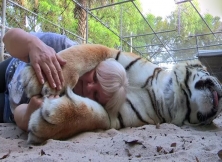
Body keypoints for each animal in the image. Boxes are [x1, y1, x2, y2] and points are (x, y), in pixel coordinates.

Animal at [21, 43, 222, 144]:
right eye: (207, 70)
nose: (221, 96)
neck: (167, 95)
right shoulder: (113, 53)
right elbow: (83, 53)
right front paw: (42, 78)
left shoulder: (117, 116)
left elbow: (95, 116)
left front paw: (47, 123)